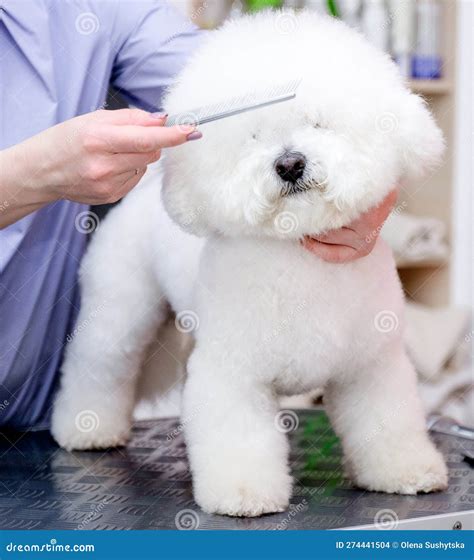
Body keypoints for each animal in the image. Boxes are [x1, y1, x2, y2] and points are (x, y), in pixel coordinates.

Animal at [51, 10, 448, 516]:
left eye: (318, 123)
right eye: (253, 137)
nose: (290, 163)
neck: (295, 254)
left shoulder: (372, 367)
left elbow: (388, 424)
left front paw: (406, 471)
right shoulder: (231, 372)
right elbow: (237, 436)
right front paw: (243, 494)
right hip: (119, 309)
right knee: (99, 365)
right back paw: (87, 429)